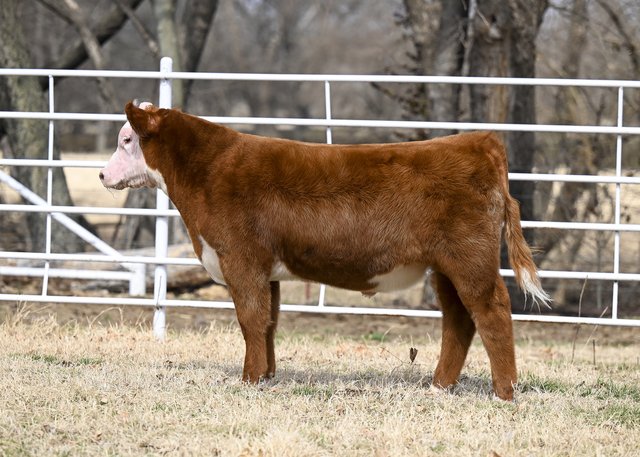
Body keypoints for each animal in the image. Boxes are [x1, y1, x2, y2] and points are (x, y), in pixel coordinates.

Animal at [101, 100, 552, 400]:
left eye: (126, 139)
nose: (103, 174)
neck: (206, 170)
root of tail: (483, 142)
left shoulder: (241, 258)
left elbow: (250, 319)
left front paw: (248, 379)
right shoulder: (267, 269)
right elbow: (268, 322)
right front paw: (267, 375)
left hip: (469, 257)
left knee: (492, 310)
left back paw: (504, 391)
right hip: (443, 266)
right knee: (459, 318)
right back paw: (439, 385)